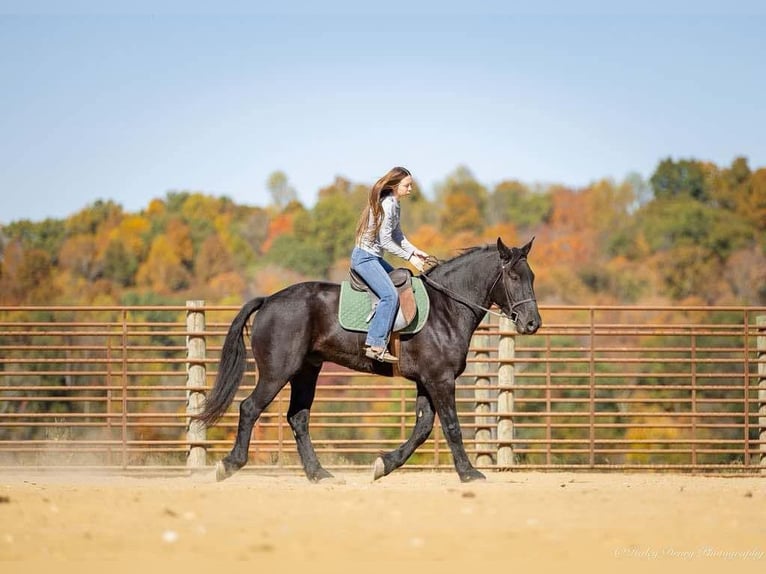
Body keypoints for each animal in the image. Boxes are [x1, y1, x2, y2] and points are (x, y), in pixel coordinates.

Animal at [201, 236, 544, 484]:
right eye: (514, 276)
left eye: (532, 275)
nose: (532, 323)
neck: (445, 308)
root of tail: (269, 300)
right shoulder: (440, 380)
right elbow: (451, 426)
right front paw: (469, 473)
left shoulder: (427, 381)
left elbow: (423, 428)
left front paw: (383, 464)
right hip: (277, 372)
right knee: (250, 408)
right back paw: (229, 465)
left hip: (306, 371)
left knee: (298, 418)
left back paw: (319, 474)